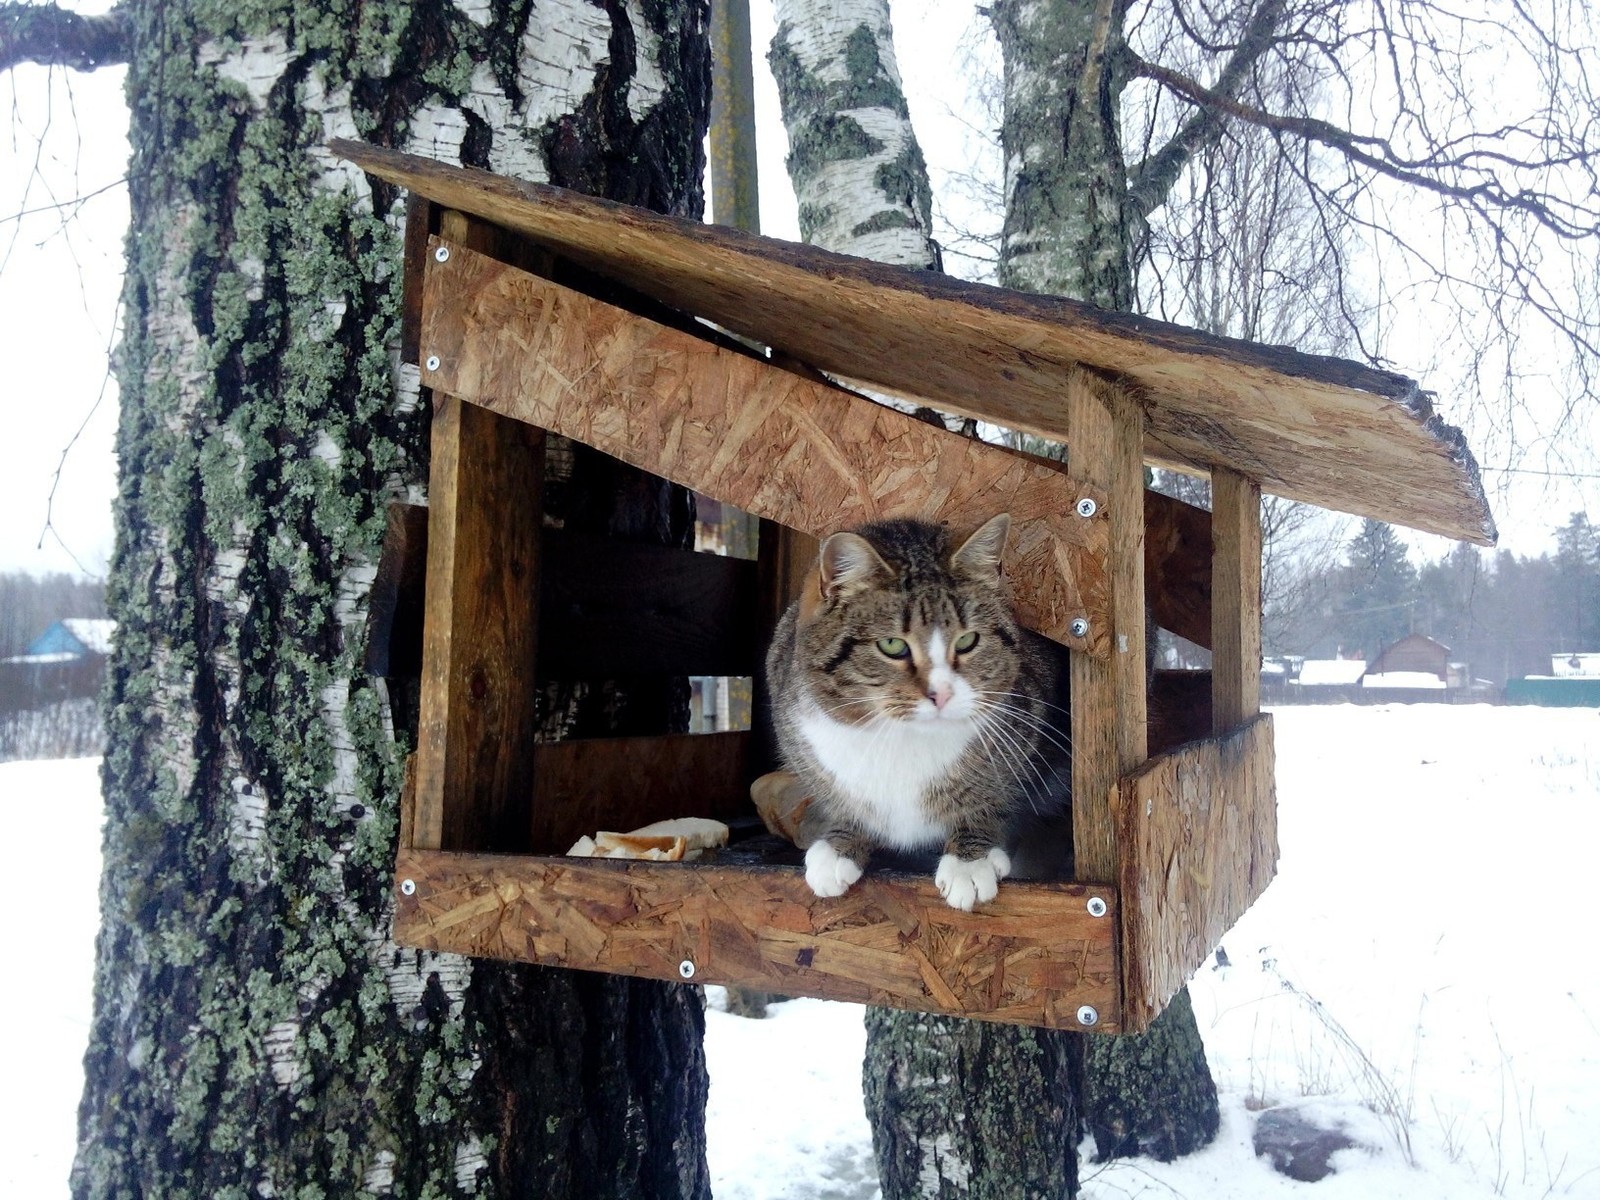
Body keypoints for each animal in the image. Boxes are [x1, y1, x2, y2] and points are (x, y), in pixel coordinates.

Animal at [764, 515, 1068, 908]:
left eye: (968, 641)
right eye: (893, 645)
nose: (941, 694)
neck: (900, 734)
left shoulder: (1027, 723)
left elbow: (996, 793)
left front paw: (970, 861)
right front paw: (841, 843)